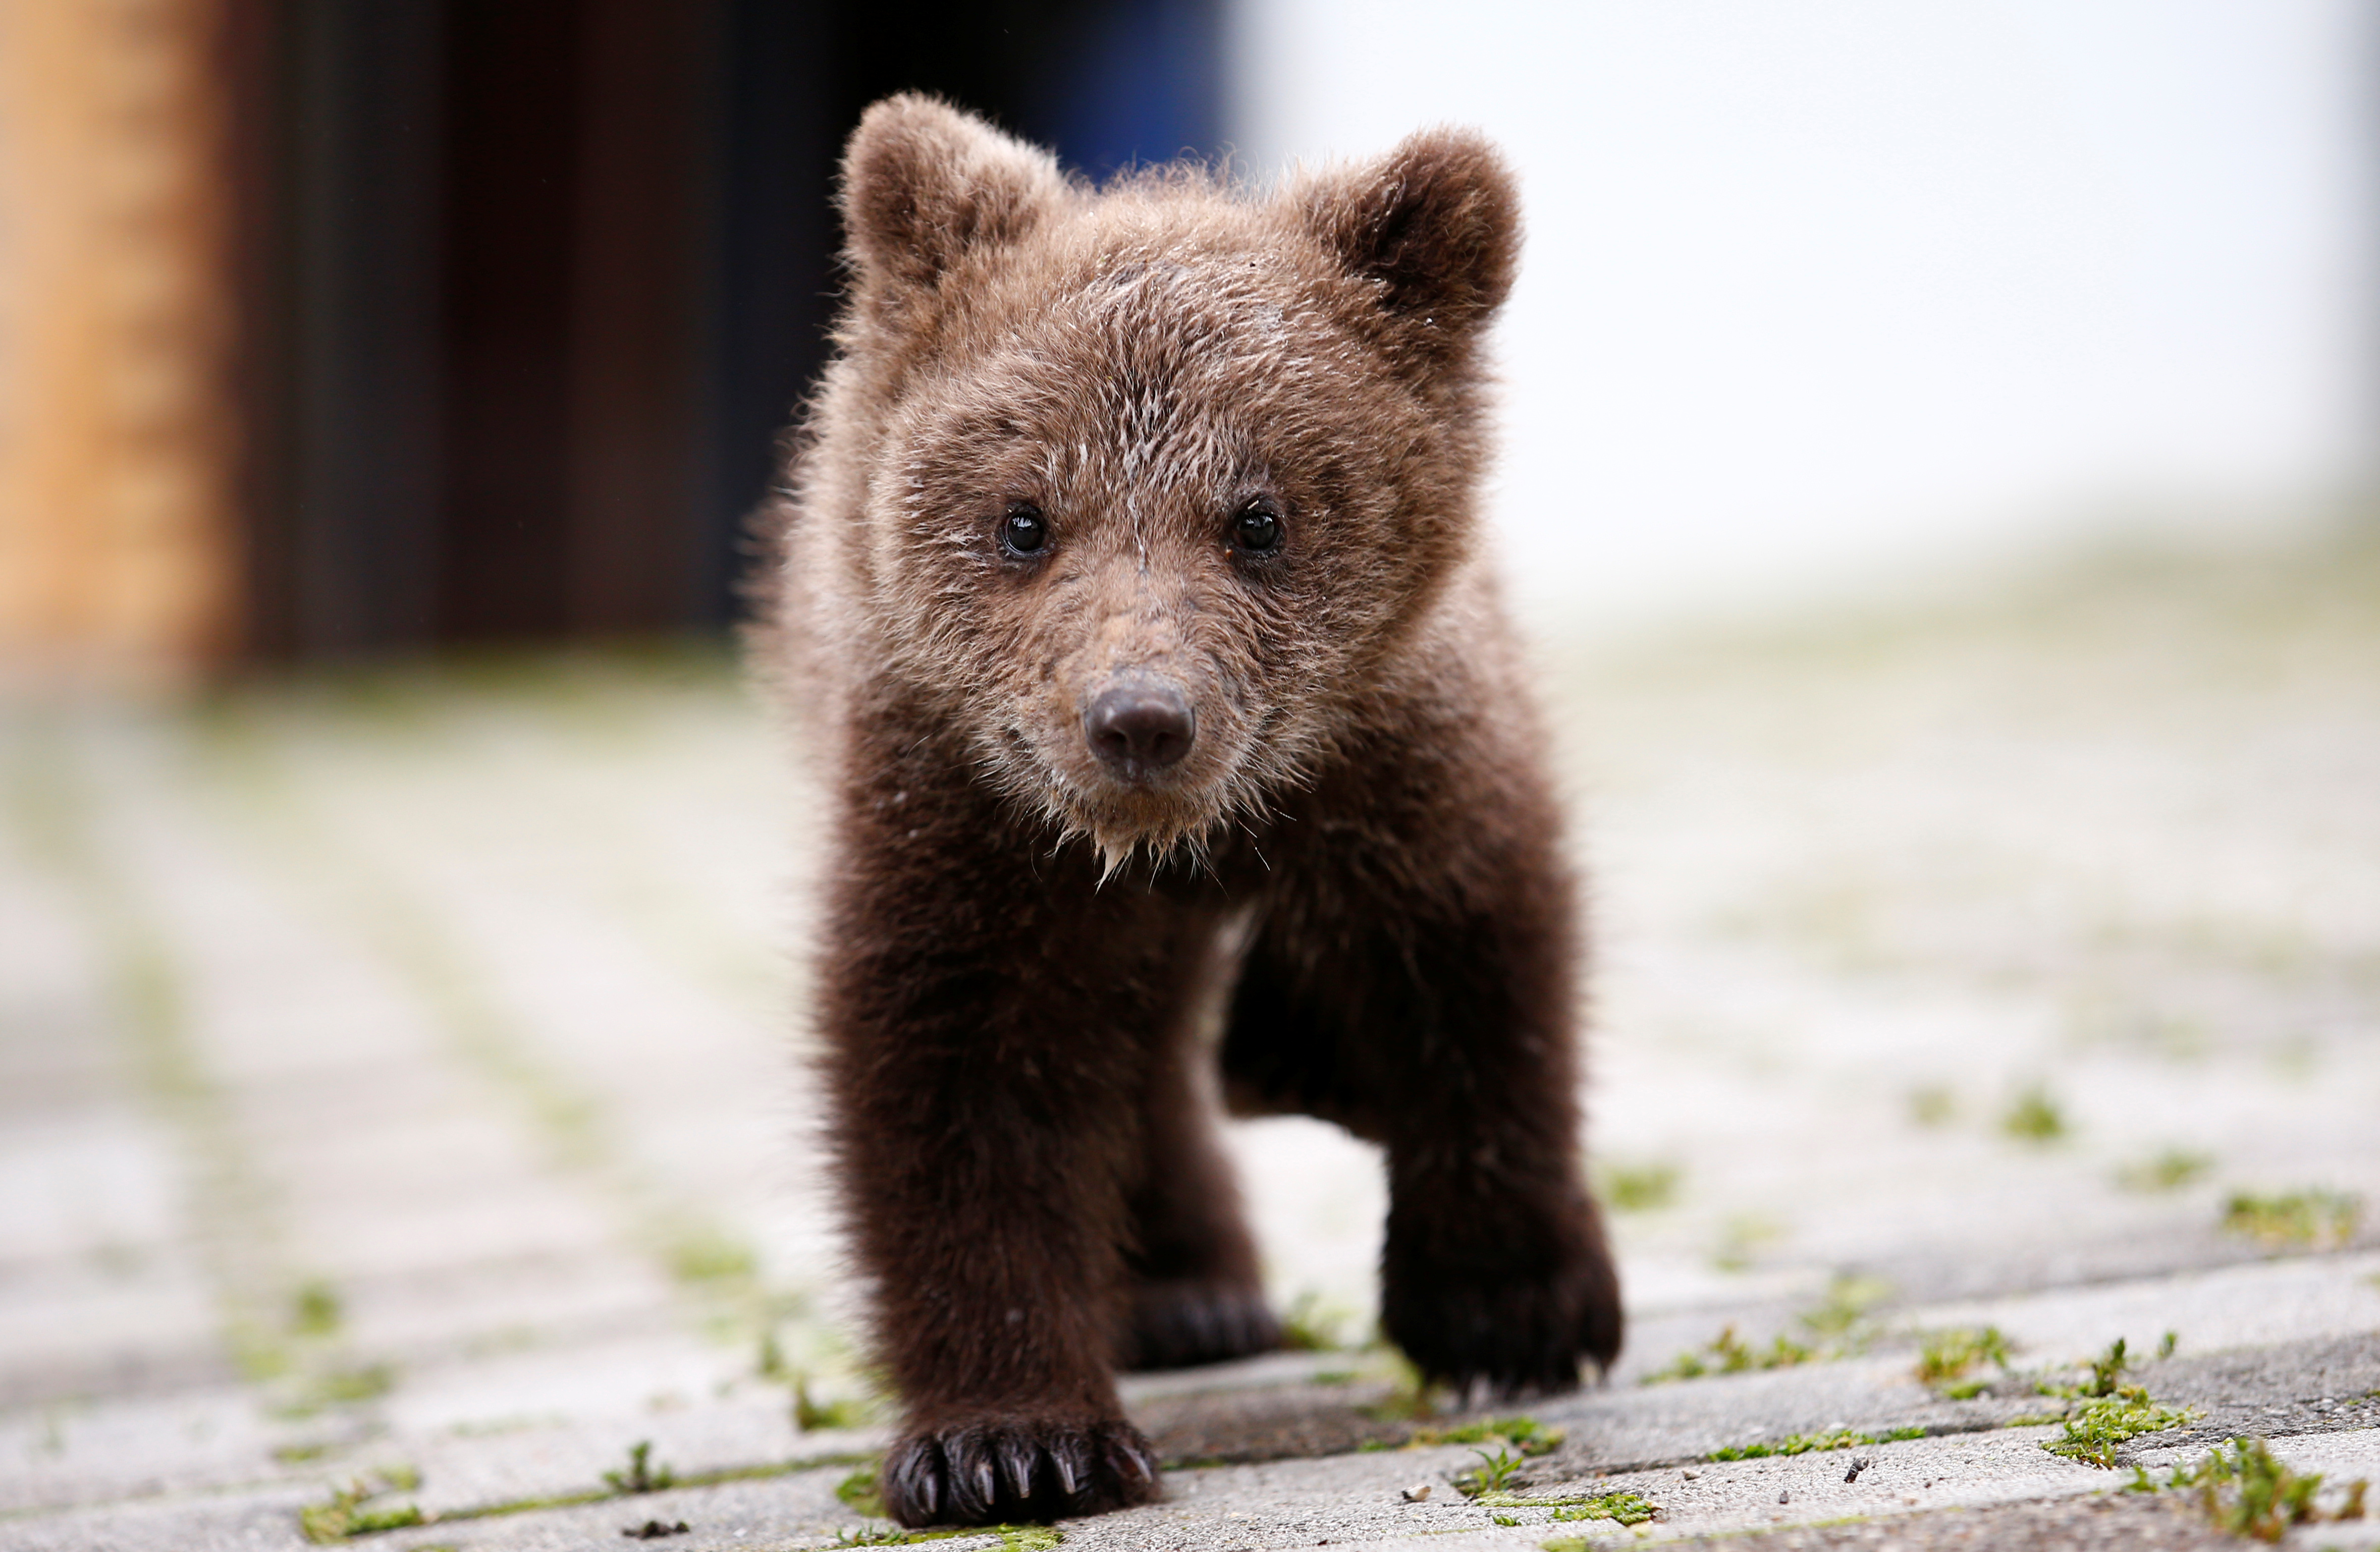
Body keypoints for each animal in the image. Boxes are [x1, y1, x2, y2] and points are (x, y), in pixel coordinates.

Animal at [758, 94, 1622, 1528]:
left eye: (1257, 516)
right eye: (1024, 517)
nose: (1141, 717)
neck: (1191, 838)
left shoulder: (1399, 762)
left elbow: (1474, 970)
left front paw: (1510, 1315)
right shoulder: (963, 817)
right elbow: (957, 1082)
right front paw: (1012, 1441)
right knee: (1143, 1050)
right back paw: (1188, 1284)